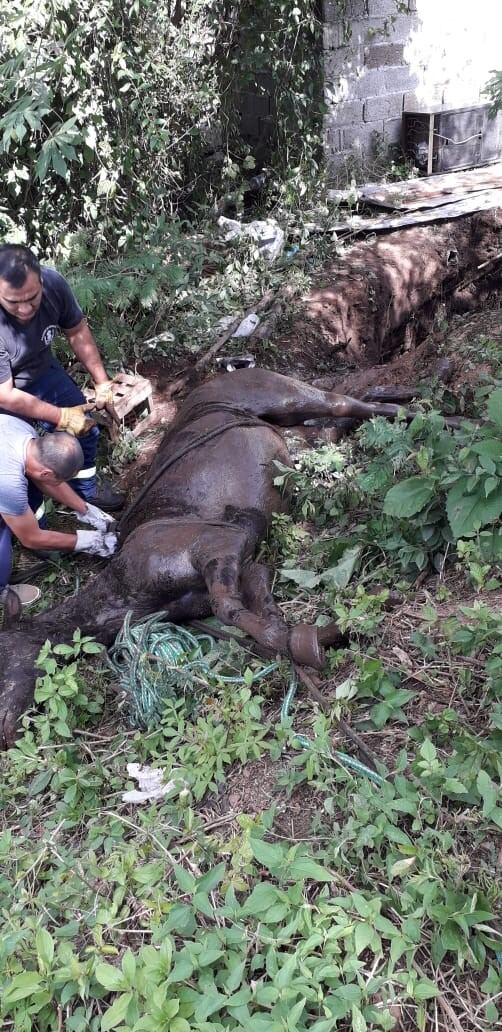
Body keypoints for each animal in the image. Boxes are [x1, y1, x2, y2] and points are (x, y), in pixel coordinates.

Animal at [0, 367, 437, 747]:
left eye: (1, 658)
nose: (6, 735)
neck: (122, 596)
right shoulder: (238, 565)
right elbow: (257, 609)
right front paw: (308, 634)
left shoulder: (218, 542)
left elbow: (228, 609)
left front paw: (320, 637)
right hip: (289, 436)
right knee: (341, 417)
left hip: (282, 395)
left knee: (346, 403)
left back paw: (431, 412)